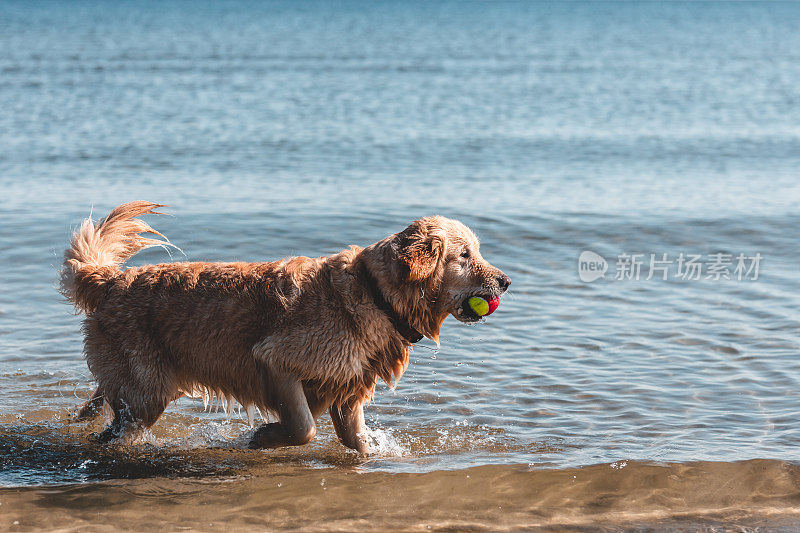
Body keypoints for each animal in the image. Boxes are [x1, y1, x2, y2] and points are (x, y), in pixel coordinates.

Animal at [62, 202, 512, 450]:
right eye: (465, 256)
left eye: (477, 252)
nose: (506, 281)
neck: (377, 296)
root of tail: (110, 280)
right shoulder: (275, 360)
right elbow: (304, 428)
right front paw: (263, 437)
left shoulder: (348, 389)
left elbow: (357, 442)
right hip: (147, 394)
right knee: (114, 431)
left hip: (137, 388)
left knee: (104, 405)